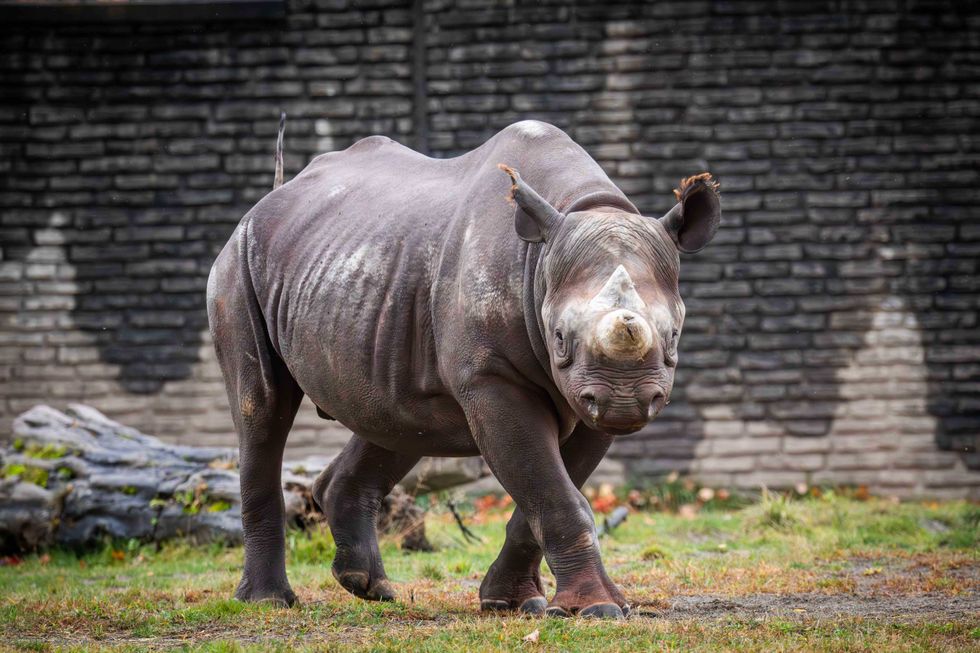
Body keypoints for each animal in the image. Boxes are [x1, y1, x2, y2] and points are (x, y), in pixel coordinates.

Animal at [207, 119, 720, 618]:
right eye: (559, 338)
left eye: (674, 336)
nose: (625, 400)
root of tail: (271, 198)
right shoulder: (492, 378)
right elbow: (553, 491)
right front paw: (597, 609)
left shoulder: (587, 398)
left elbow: (549, 489)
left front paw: (511, 603)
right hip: (239, 260)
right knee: (263, 410)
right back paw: (269, 601)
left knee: (396, 418)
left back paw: (370, 588)